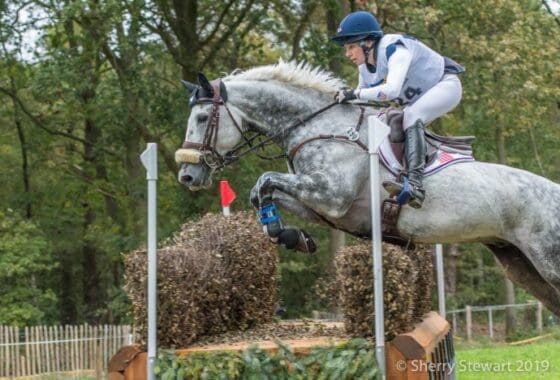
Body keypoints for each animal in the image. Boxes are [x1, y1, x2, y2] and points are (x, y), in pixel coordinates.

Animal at [178, 60, 560, 316]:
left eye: (202, 118)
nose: (187, 176)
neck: (319, 125)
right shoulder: (323, 204)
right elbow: (264, 191)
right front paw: (290, 236)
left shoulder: (330, 195)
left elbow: (264, 180)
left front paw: (286, 234)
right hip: (520, 264)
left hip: (548, 259)